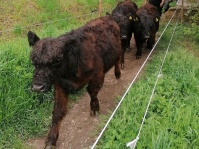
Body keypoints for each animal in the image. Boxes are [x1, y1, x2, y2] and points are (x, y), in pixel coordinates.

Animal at [27, 15, 122, 149]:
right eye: (33, 61)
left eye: (57, 60)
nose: (37, 87)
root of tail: (108, 17)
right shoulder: (59, 85)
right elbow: (57, 112)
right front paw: (51, 139)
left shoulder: (97, 75)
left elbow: (92, 92)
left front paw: (94, 108)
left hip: (118, 49)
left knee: (118, 59)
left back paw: (118, 73)